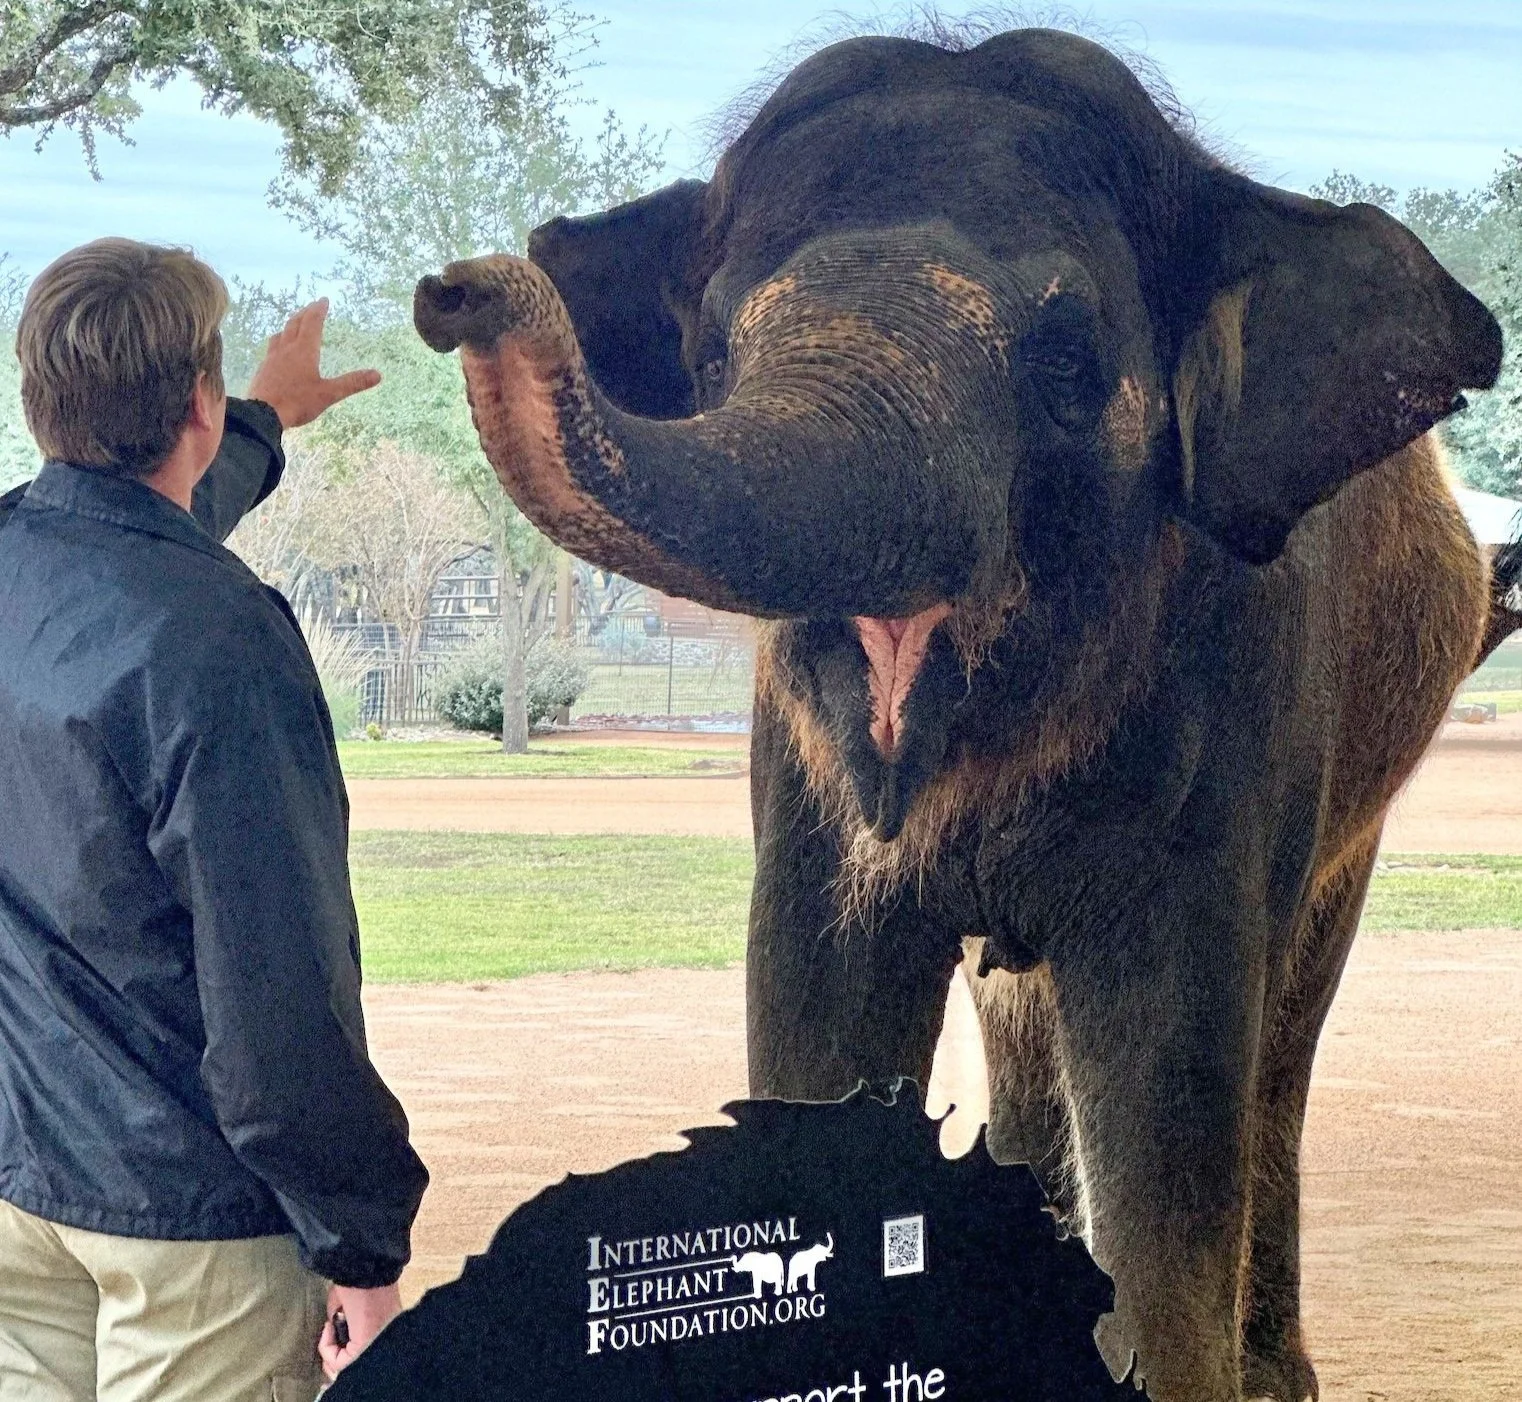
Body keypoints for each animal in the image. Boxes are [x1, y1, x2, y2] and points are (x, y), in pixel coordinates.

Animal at [412, 27, 1514, 1402]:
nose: (455, 290)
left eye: (1065, 364)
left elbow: (1168, 1083)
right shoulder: (800, 782)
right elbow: (817, 1006)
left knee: (1278, 1038)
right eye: (712, 360)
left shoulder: (1246, 697)